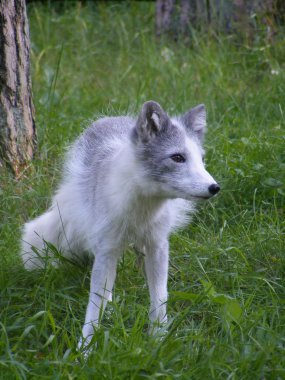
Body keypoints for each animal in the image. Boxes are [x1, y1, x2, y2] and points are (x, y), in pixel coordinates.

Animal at [20, 100, 220, 350]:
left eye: (201, 160)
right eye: (177, 157)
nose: (215, 188)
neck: (143, 208)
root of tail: (109, 118)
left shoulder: (158, 246)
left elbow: (159, 297)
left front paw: (158, 338)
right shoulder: (107, 249)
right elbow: (94, 304)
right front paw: (85, 348)